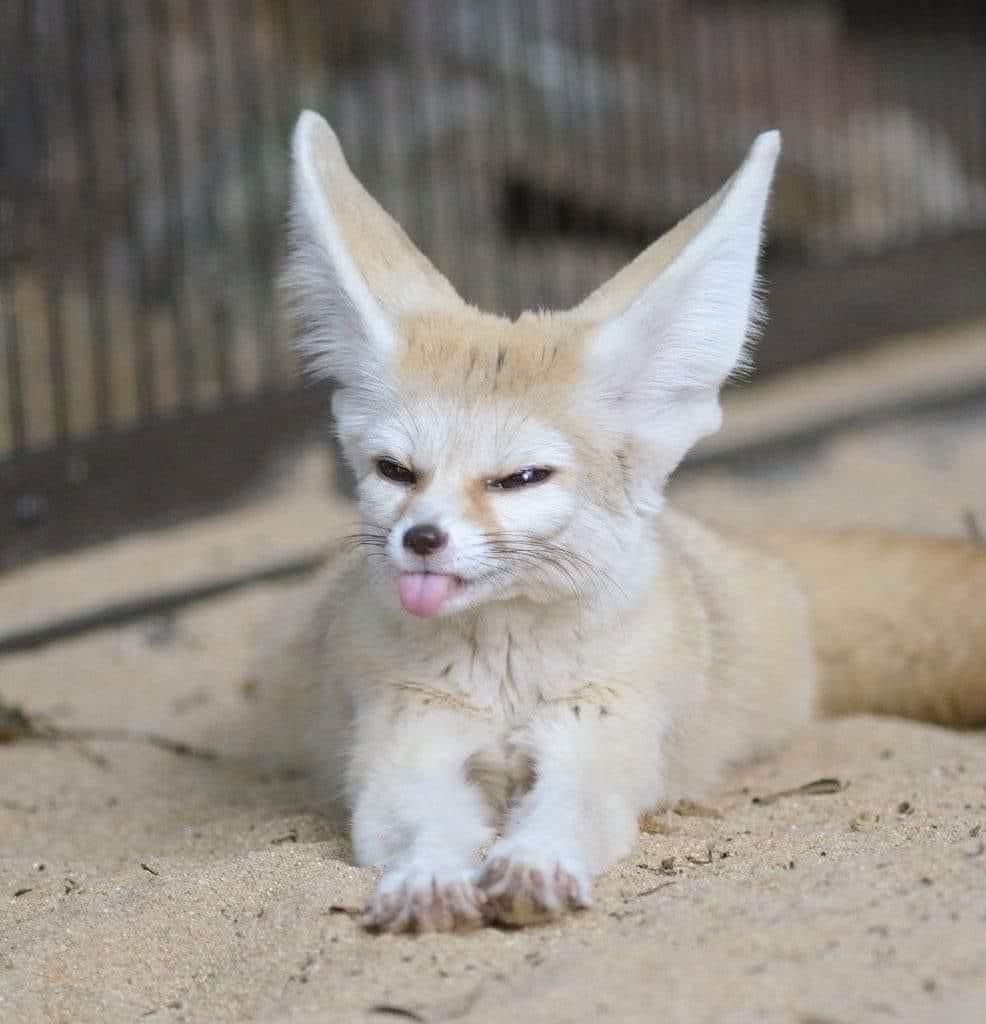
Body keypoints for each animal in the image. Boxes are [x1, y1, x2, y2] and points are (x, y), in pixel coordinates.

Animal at [253, 110, 986, 934]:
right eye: (395, 472)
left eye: (520, 479)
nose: (421, 540)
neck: (508, 679)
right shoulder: (405, 752)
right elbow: (425, 830)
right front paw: (429, 880)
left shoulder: (599, 744)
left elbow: (565, 815)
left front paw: (533, 864)